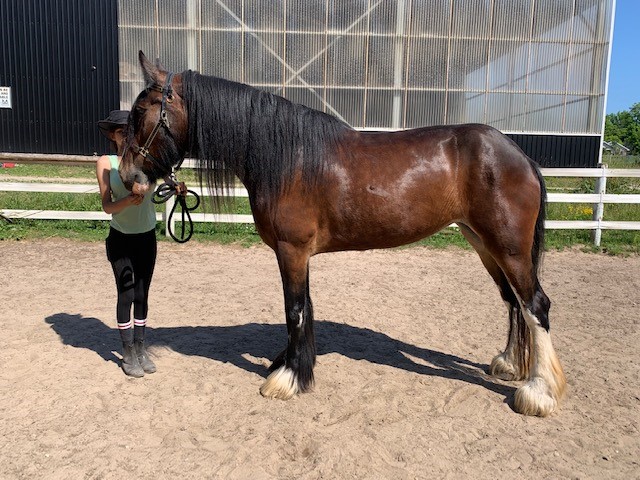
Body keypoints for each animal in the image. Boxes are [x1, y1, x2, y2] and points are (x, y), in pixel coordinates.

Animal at [120, 51, 566, 417]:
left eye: (140, 112)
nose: (127, 176)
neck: (288, 158)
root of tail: (518, 154)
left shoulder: (292, 250)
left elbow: (295, 310)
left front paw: (287, 379)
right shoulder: (296, 254)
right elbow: (303, 309)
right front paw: (293, 365)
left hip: (508, 247)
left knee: (535, 305)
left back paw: (538, 392)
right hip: (484, 244)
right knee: (512, 300)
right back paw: (510, 364)